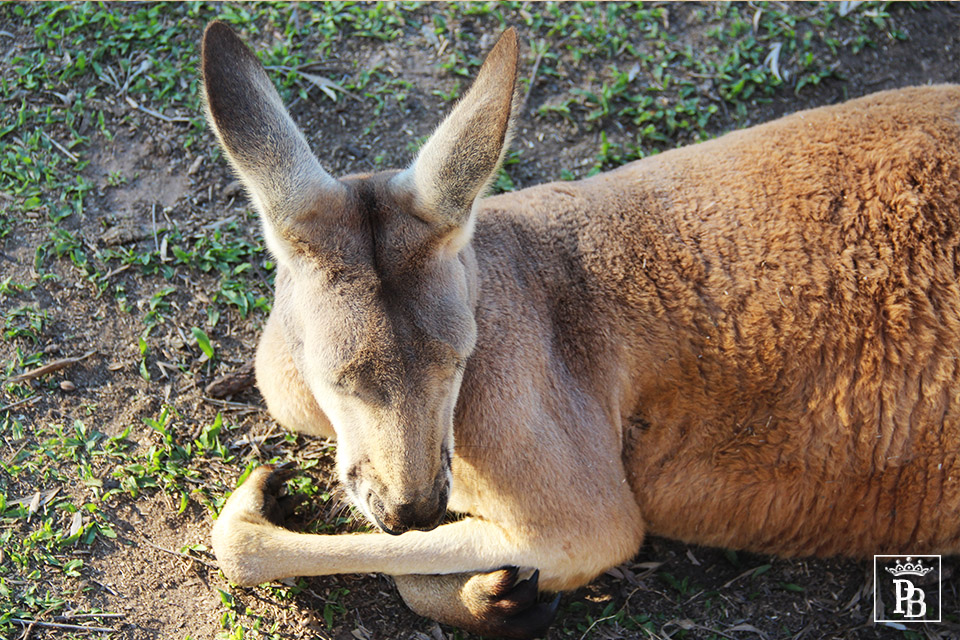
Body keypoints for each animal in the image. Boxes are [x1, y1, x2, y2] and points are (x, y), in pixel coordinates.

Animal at [202, 20, 960, 639]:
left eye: (459, 362)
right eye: (339, 380)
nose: (414, 510)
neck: (492, 276)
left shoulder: (569, 496)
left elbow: (254, 549)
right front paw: (491, 596)